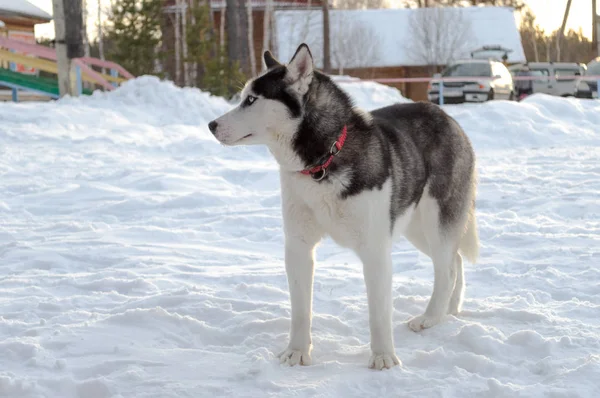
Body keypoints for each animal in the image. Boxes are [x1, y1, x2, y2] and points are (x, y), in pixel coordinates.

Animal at [209, 43, 480, 370]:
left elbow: (378, 314)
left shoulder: (375, 250)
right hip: (416, 228)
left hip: (435, 220)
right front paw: (297, 352)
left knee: (446, 269)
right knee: (455, 260)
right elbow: (300, 310)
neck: (323, 161)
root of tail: (446, 117)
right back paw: (449, 311)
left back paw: (430, 317)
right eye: (242, 96)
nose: (211, 125)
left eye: (251, 100)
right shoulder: (298, 246)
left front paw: (383, 357)